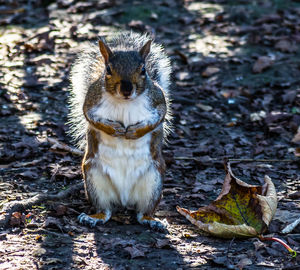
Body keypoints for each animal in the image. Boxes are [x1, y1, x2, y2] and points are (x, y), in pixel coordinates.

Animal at [68, 32, 171, 230]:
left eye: (143, 70)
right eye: (108, 69)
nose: (126, 89)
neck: (124, 102)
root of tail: (124, 199)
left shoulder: (158, 99)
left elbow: (160, 115)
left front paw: (134, 132)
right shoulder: (91, 99)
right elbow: (88, 115)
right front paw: (113, 129)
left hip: (154, 181)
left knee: (142, 212)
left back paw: (151, 220)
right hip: (94, 179)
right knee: (106, 210)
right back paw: (94, 217)